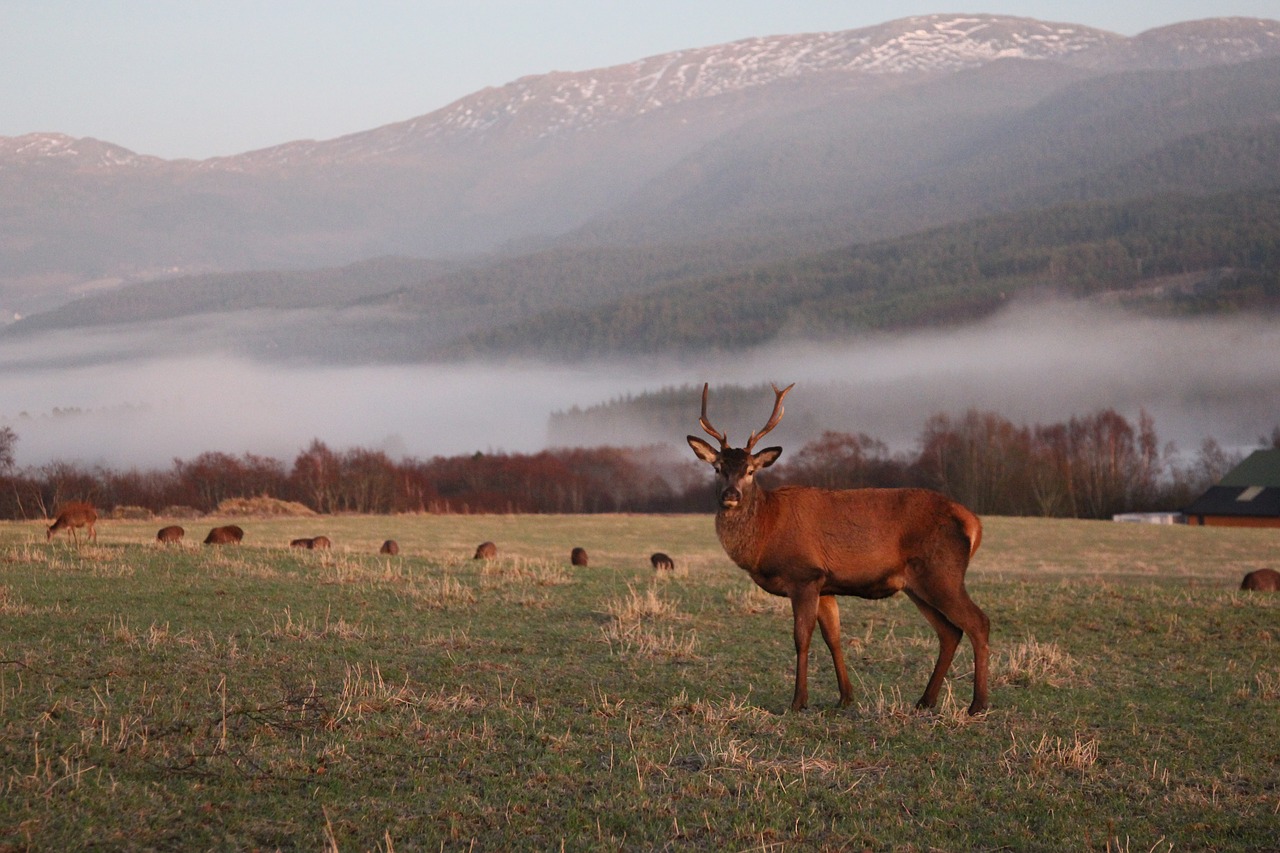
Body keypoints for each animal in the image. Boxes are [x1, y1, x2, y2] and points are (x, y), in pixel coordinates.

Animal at [686, 381, 993, 712]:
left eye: (751, 470)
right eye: (717, 468)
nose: (730, 495)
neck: (766, 533)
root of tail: (973, 523)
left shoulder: (805, 575)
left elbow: (802, 637)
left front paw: (798, 701)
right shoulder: (826, 585)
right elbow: (833, 637)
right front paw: (845, 696)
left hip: (943, 572)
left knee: (978, 622)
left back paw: (978, 704)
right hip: (918, 584)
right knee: (950, 631)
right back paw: (925, 700)